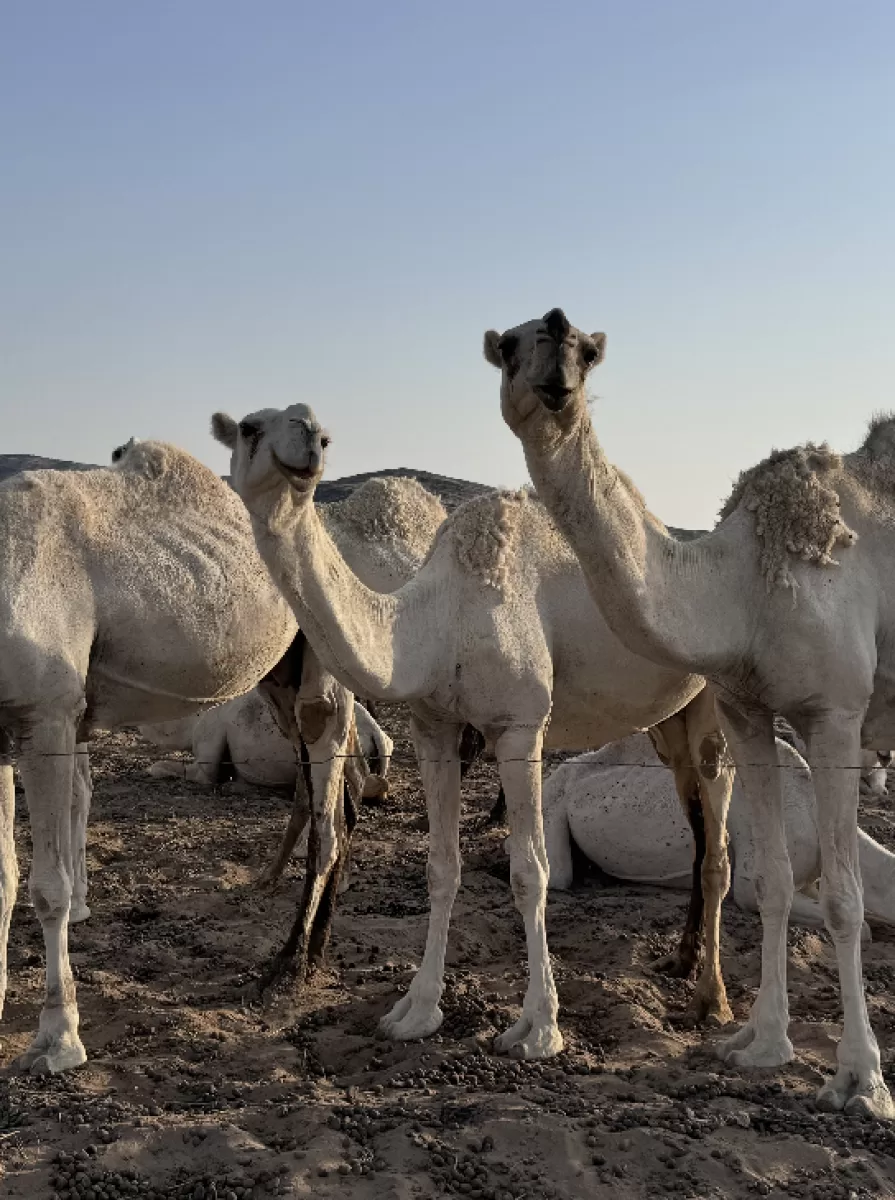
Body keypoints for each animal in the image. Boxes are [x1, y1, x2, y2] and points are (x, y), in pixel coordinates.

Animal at [212, 405, 736, 1061]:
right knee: (697, 825)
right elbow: (441, 867)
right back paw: (683, 961)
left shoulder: (520, 727)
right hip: (671, 720)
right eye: (251, 427)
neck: (437, 617)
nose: (307, 440)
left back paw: (713, 1000)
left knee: (719, 835)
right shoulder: (434, 726)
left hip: (718, 700)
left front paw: (539, 1028)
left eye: (324, 433)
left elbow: (529, 871)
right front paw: (415, 1010)